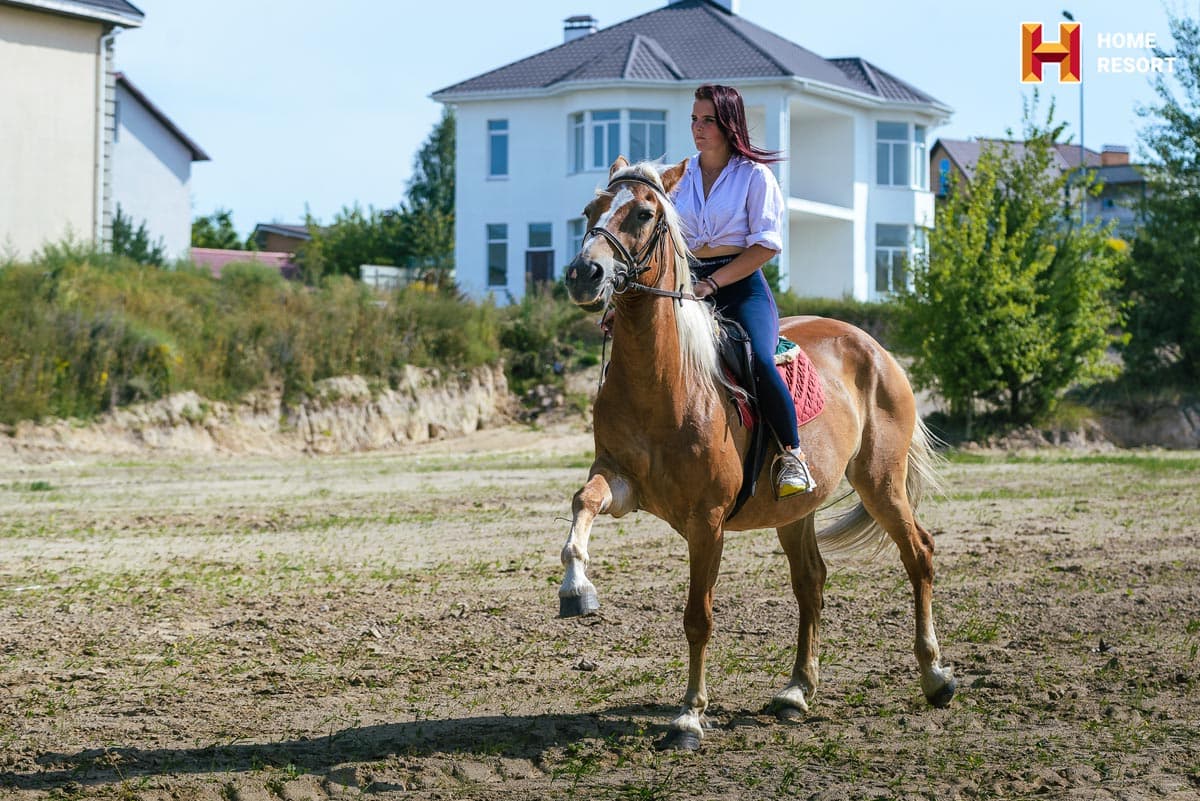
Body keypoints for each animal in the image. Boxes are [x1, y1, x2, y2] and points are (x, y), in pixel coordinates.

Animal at [557, 156, 956, 751]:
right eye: (590, 210)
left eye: (644, 214)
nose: (585, 274)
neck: (667, 379)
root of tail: (876, 349)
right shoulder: (620, 480)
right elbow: (583, 501)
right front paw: (575, 588)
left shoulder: (706, 522)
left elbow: (698, 617)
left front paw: (688, 719)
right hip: (795, 510)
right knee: (811, 583)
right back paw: (796, 692)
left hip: (881, 482)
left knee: (919, 555)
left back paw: (935, 677)